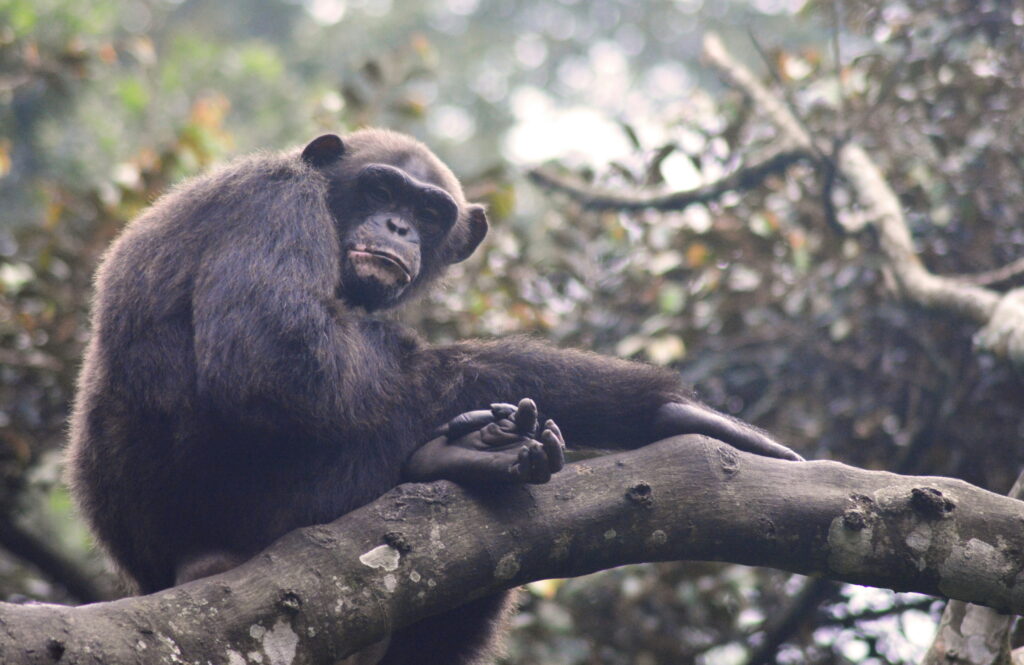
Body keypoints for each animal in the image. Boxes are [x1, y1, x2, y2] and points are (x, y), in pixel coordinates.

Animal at [66, 128, 801, 665]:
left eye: (427, 211)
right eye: (381, 187)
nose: (396, 225)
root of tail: (175, 569)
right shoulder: (271, 203)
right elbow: (274, 361)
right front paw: (651, 406)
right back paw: (463, 453)